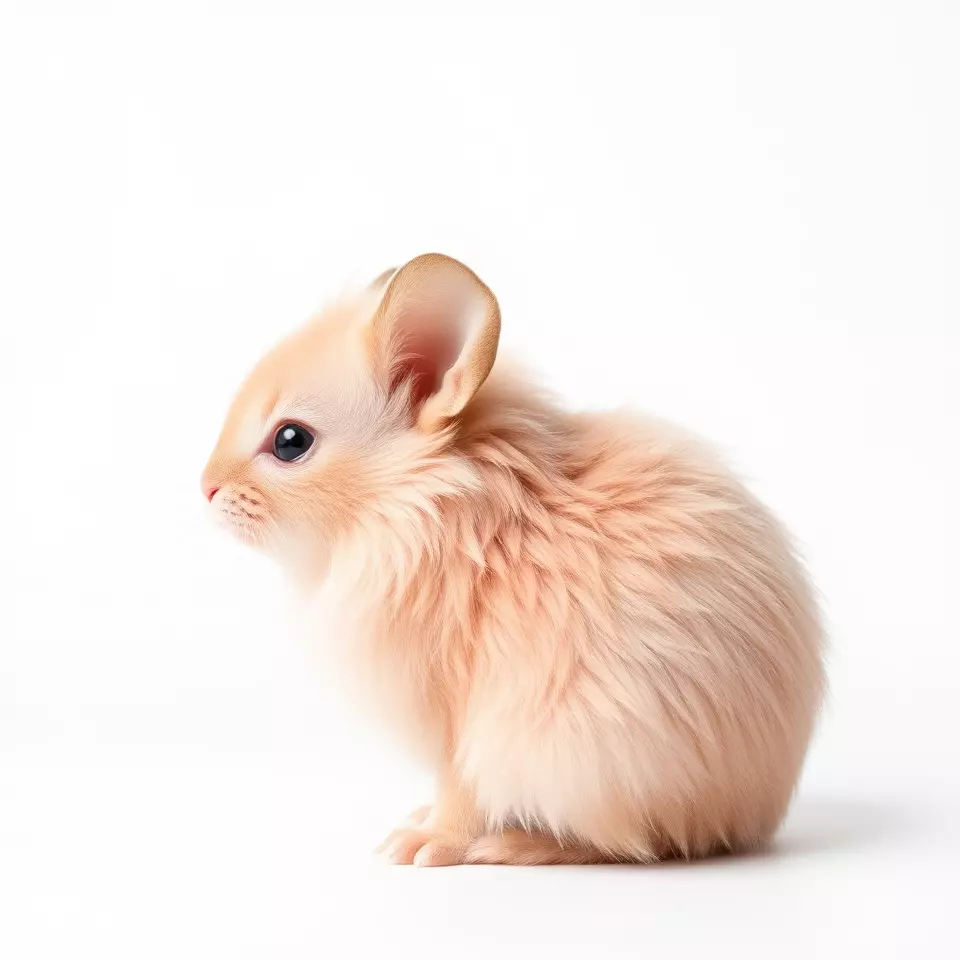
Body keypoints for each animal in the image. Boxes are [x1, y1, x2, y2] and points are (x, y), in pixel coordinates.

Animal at [201, 253, 824, 865]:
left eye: (291, 441)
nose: (205, 489)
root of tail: (748, 815)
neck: (415, 507)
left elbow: (459, 791)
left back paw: (512, 844)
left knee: (634, 843)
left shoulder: (456, 720)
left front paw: (427, 844)